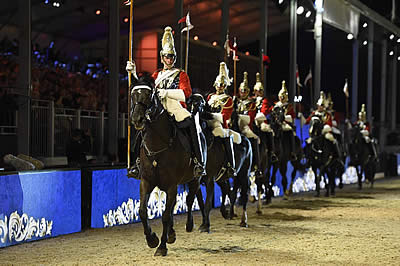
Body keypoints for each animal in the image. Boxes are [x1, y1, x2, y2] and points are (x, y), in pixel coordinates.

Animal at [131, 75, 205, 256]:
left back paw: (188, 225)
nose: (137, 119)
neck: (158, 145)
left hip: (195, 179)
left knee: (189, 199)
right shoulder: (146, 182)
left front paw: (161, 247)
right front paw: (152, 239)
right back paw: (171, 234)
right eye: (133, 95)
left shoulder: (172, 185)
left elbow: (165, 215)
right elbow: (142, 211)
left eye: (149, 95)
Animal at [188, 94, 253, 232]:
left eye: (201, 103)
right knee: (229, 192)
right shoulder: (196, 180)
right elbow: (198, 202)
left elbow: (207, 203)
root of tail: (245, 139)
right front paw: (198, 224)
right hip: (224, 178)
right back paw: (228, 213)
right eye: (190, 102)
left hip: (244, 174)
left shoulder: (210, 179)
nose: (194, 110)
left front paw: (205, 226)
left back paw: (243, 221)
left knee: (243, 195)